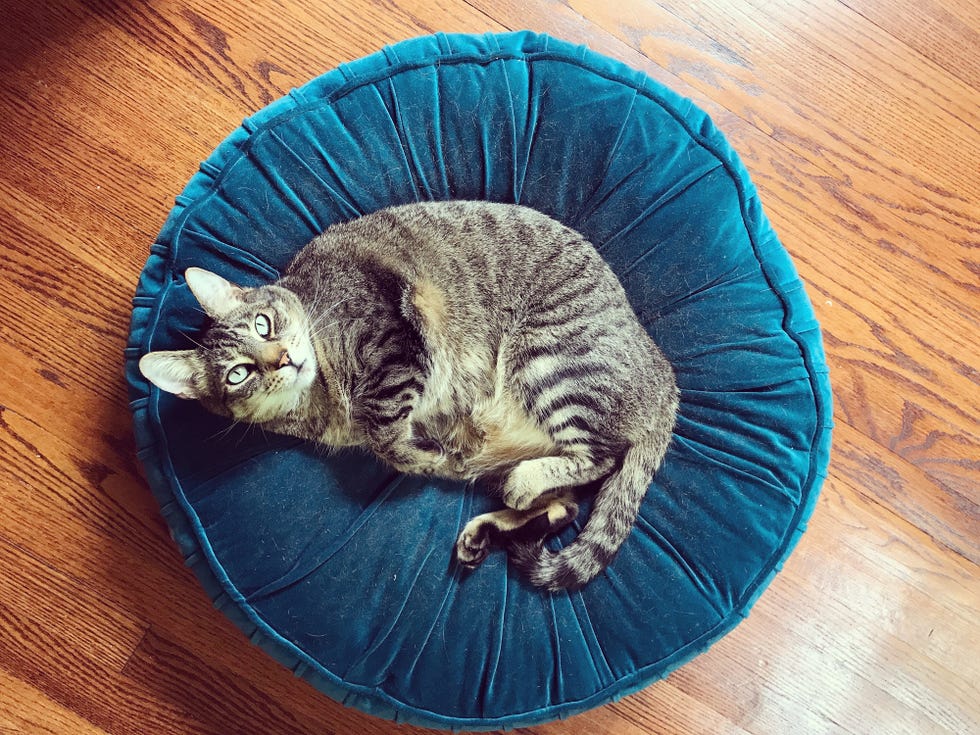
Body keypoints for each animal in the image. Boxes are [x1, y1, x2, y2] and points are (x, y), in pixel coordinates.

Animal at [142, 201, 676, 592]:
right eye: (238, 373)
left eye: (263, 324)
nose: (284, 359)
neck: (322, 399)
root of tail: (665, 374)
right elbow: (387, 437)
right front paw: (431, 454)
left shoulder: (396, 338)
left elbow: (384, 426)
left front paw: (426, 454)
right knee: (566, 506)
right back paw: (488, 526)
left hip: (551, 360)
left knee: (599, 458)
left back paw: (522, 482)